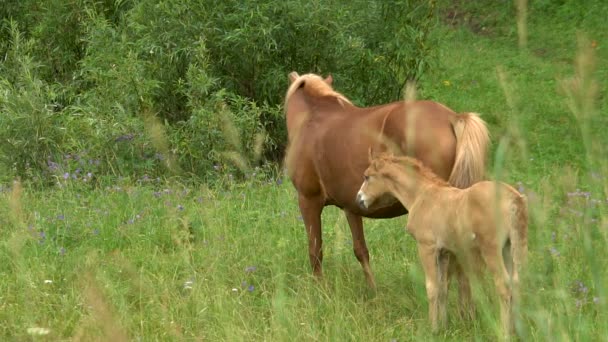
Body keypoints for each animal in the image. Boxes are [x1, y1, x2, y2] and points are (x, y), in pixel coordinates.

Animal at [284, 72, 490, 288]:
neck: (312, 118)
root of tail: (453, 118)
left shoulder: (308, 200)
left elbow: (315, 251)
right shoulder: (352, 206)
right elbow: (360, 250)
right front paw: (372, 290)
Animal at [356, 155, 528, 336]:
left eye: (366, 176)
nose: (359, 199)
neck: (421, 196)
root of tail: (513, 197)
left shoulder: (426, 247)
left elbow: (432, 288)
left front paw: (433, 329)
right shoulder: (444, 252)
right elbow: (443, 288)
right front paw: (444, 326)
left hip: (491, 250)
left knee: (503, 285)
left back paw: (505, 332)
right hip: (509, 247)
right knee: (515, 283)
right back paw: (517, 330)